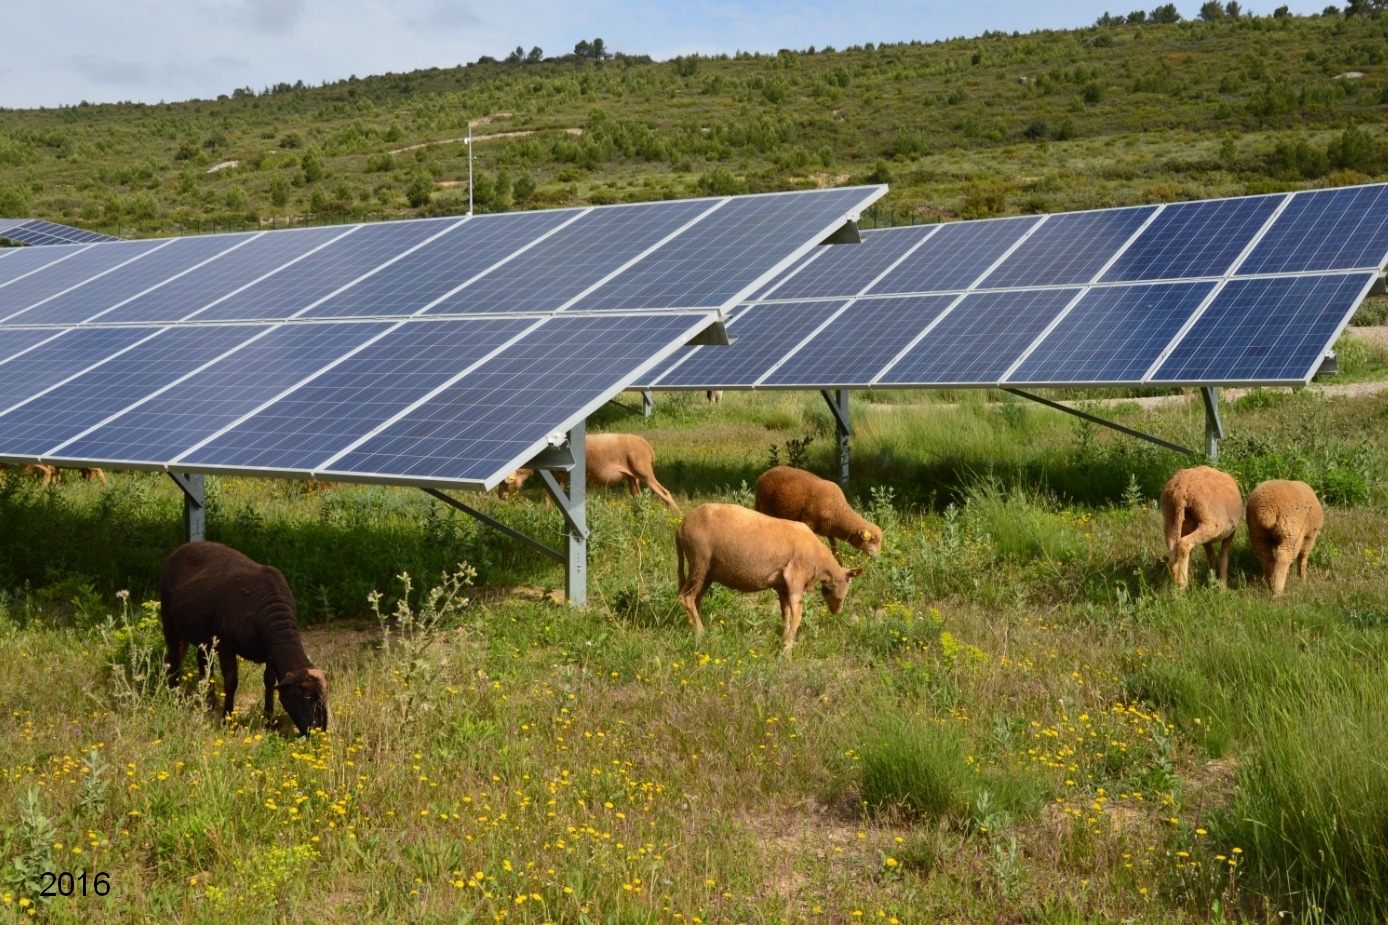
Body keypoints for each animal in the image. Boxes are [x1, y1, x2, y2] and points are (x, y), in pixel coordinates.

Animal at [160, 541, 328, 735]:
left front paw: (268, 720)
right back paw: (174, 696)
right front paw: (227, 720)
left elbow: (269, 681)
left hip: (203, 633)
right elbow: (231, 681)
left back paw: (209, 702)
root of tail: (184, 546)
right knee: (173, 658)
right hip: (168, 619)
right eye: (307, 696)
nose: (319, 732)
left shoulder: (269, 651)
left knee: (203, 661)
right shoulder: (226, 645)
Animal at [497, 433, 680, 512]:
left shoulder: (559, 475)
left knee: (664, 492)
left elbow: (549, 494)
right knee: (637, 496)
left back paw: (675, 513)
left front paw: (548, 511)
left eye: (506, 482)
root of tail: (649, 449)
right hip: (632, 476)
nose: (500, 496)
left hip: (643, 471)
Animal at [675, 503, 862, 656]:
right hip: (699, 561)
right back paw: (701, 634)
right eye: (847, 584)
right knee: (686, 598)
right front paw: (787, 650)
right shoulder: (795, 578)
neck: (821, 563)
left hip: (707, 571)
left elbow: (786, 614)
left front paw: (784, 639)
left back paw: (696, 628)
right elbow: (797, 615)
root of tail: (681, 526)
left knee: (695, 599)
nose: (837, 611)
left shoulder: (782, 587)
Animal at [754, 465, 883, 558]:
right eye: (872, 540)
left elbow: (835, 550)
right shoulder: (808, 522)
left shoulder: (829, 531)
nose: (877, 558)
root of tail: (762, 476)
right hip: (766, 506)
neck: (837, 509)